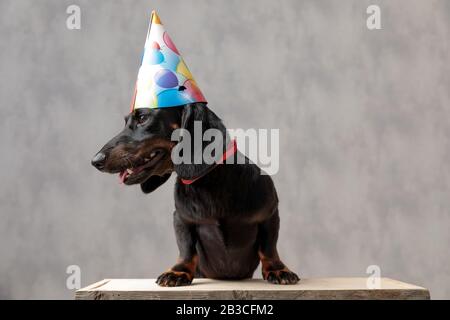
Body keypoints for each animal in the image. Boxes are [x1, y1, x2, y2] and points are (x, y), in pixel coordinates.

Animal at [91, 103, 298, 288]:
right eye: (126, 121)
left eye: (142, 118)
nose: (95, 161)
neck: (207, 183)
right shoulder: (181, 219)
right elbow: (186, 248)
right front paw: (178, 272)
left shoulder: (270, 215)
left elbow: (269, 247)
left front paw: (278, 269)